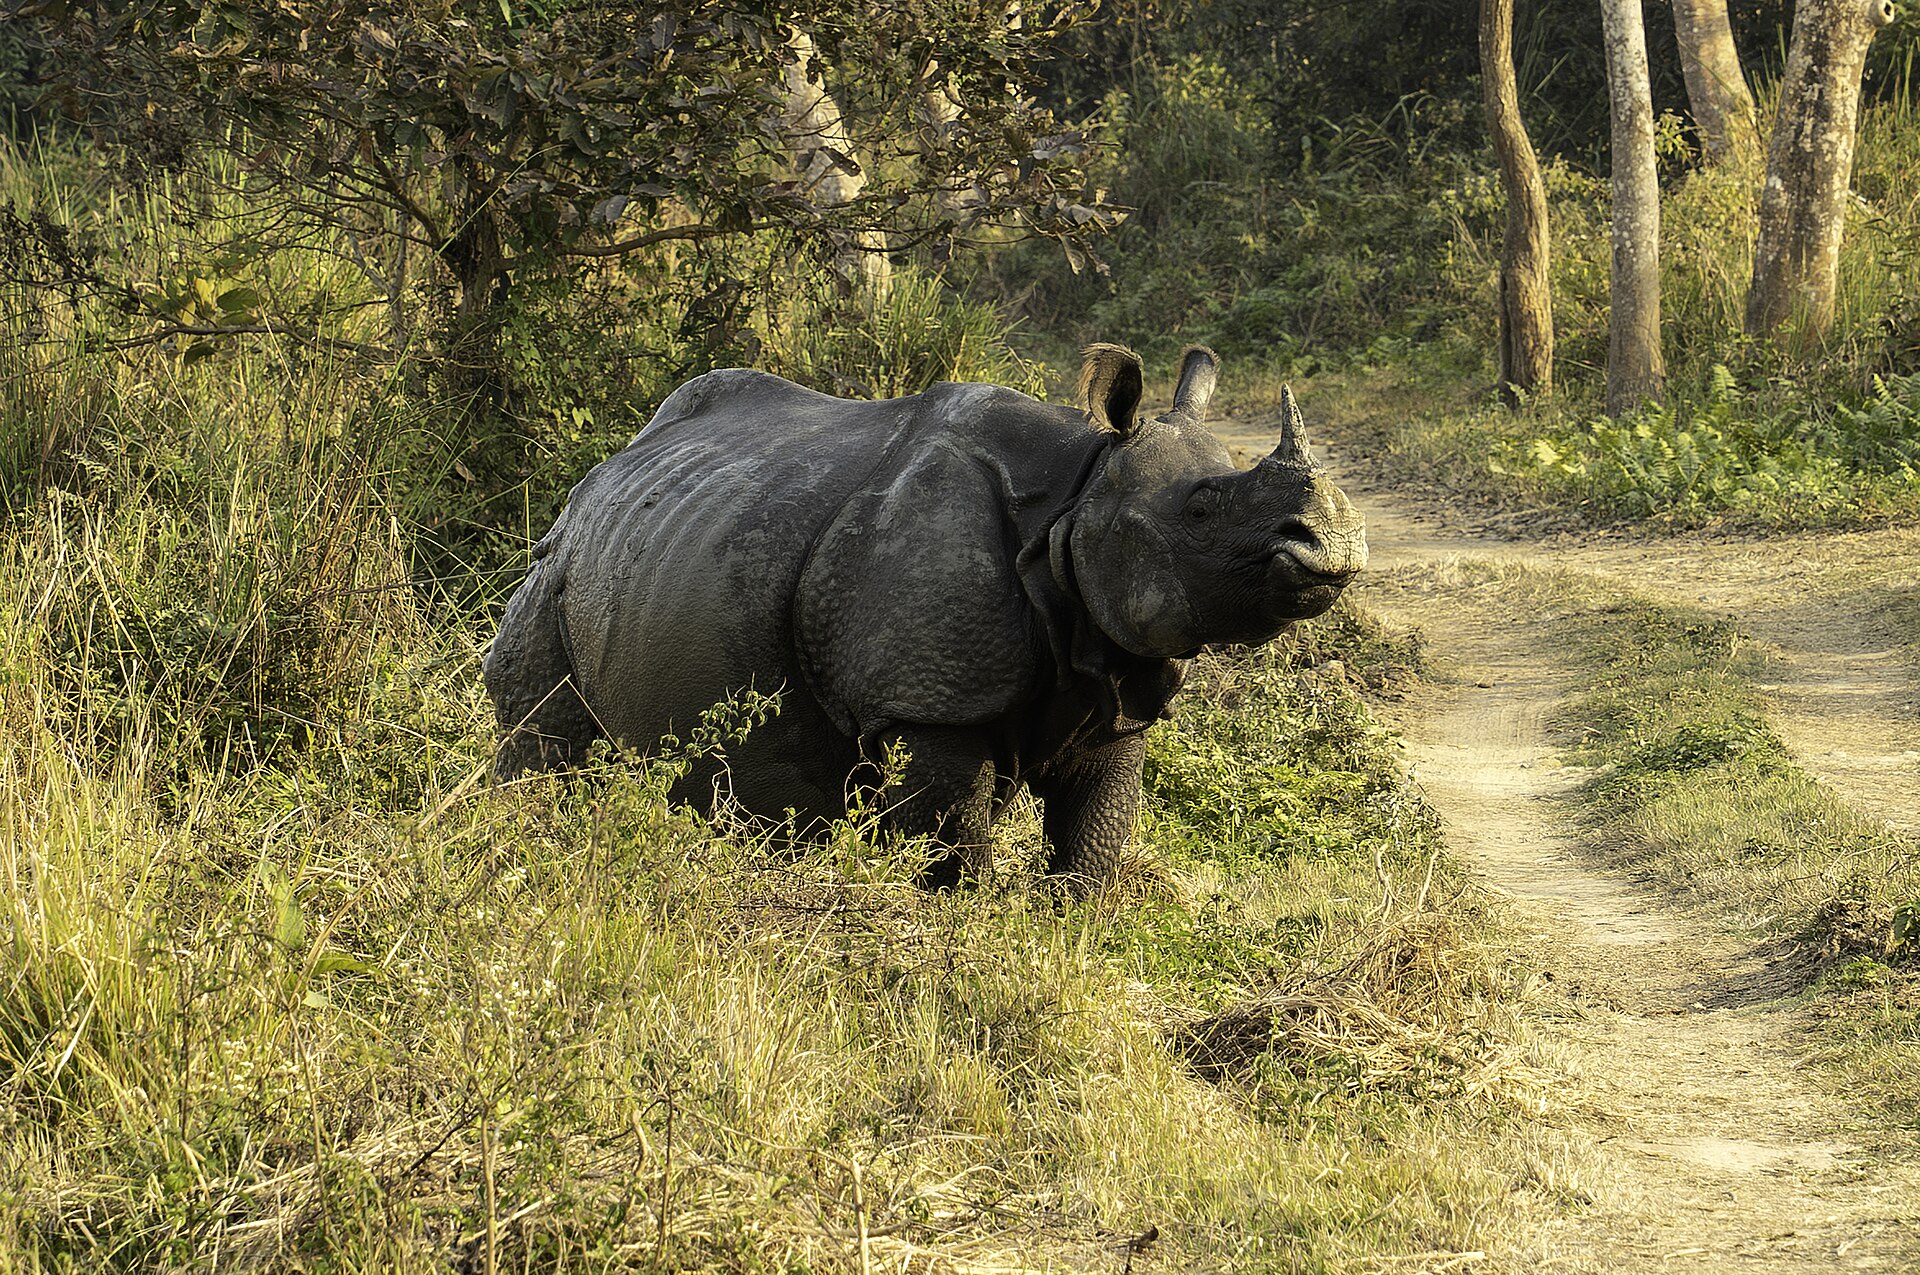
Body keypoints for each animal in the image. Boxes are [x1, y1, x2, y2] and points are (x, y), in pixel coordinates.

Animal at [484, 343, 1366, 888]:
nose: (1334, 543)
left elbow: (1094, 835)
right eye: (1202, 507)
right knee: (540, 727)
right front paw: (966, 929)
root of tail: (606, 470)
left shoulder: (1114, 676)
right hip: (558, 563)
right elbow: (954, 838)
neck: (1078, 495)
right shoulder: (927, 696)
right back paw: (524, 840)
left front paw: (1069, 928)